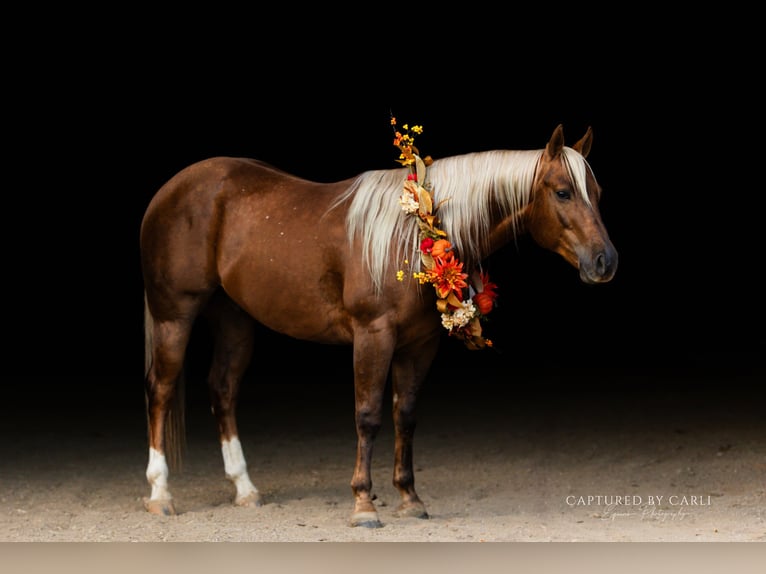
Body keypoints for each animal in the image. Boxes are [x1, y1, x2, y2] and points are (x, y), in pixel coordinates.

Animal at [140, 123, 618, 527]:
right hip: (174, 316)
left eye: (595, 191)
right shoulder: (374, 335)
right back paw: (161, 493)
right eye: (563, 192)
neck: (413, 234)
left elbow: (404, 416)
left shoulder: (418, 345)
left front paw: (410, 499)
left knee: (223, 389)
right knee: (160, 390)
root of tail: (171, 189)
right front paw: (363, 505)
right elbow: (367, 416)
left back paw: (245, 489)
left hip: (234, 319)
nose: (605, 262)